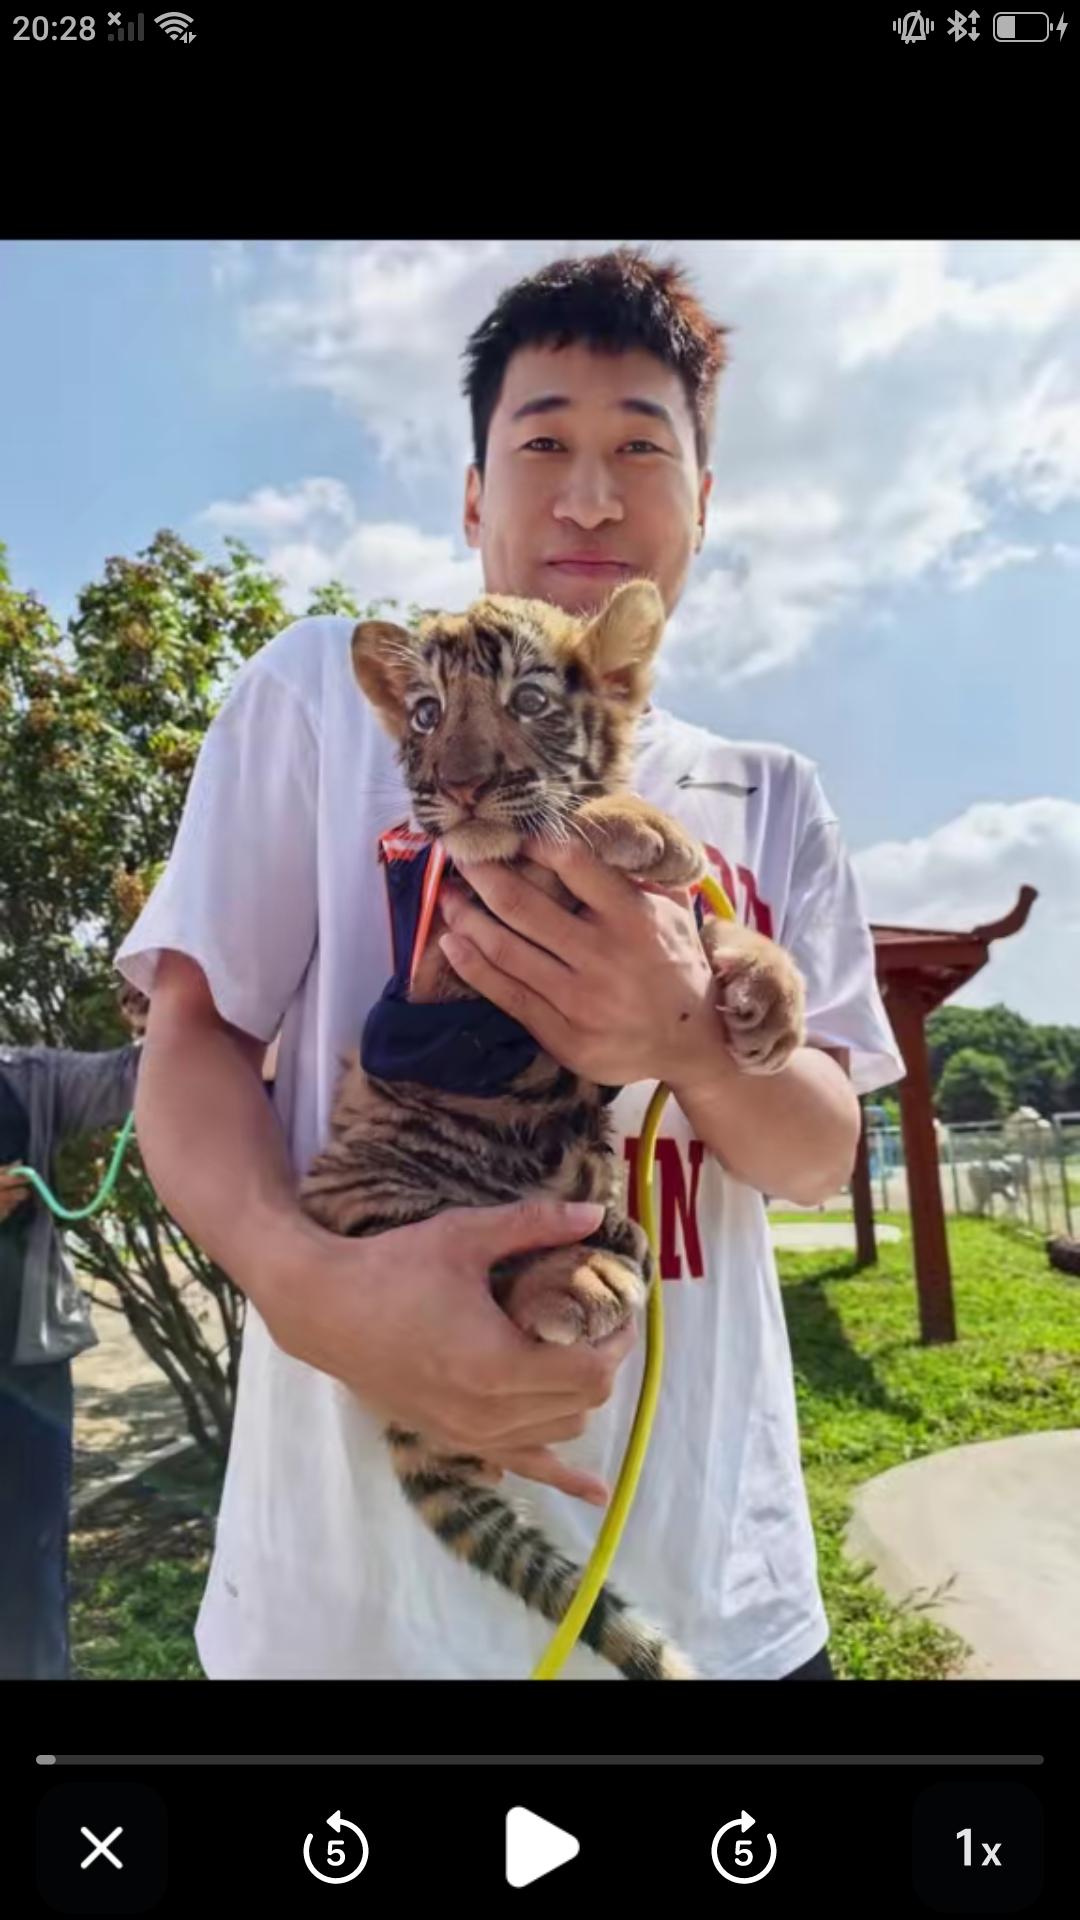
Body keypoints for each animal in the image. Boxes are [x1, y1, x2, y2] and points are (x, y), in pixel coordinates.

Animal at [298, 578, 806, 1679]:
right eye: (425, 714)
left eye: (529, 702)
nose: (463, 787)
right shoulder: (437, 972)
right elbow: (530, 856)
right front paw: (635, 825)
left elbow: (716, 922)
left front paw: (772, 1007)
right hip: (369, 1209)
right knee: (477, 1259)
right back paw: (573, 1279)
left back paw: (613, 1245)